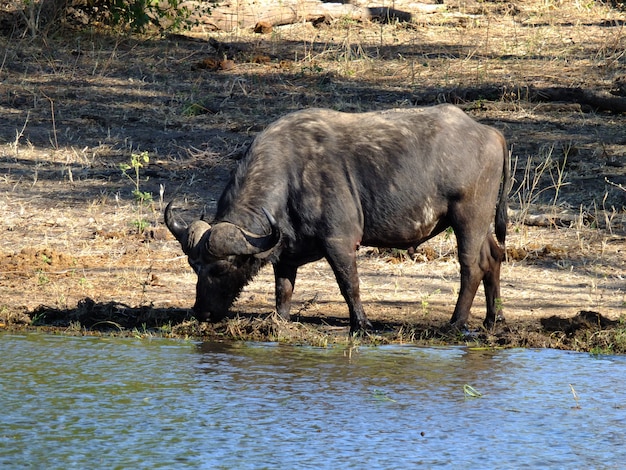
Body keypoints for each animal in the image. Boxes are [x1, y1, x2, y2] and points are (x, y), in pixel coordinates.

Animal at [163, 103, 510, 330]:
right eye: (194, 266)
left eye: (221, 269)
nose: (202, 313)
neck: (291, 177)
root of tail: (489, 132)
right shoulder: (285, 252)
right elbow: (283, 289)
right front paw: (279, 320)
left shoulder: (339, 242)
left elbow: (349, 284)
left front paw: (361, 323)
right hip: (481, 223)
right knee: (493, 256)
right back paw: (494, 318)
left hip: (468, 217)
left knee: (471, 265)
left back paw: (457, 322)